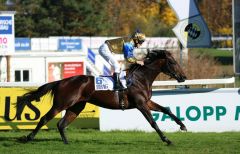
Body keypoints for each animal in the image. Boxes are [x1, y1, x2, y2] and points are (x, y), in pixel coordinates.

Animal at [15, 49, 187, 146]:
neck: (140, 78)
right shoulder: (140, 104)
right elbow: (153, 122)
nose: (183, 77)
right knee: (45, 119)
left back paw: (67, 143)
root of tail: (60, 81)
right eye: (172, 62)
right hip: (61, 104)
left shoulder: (147, 102)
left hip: (76, 106)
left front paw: (182, 126)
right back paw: (28, 138)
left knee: (61, 124)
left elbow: (166, 109)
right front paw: (166, 139)